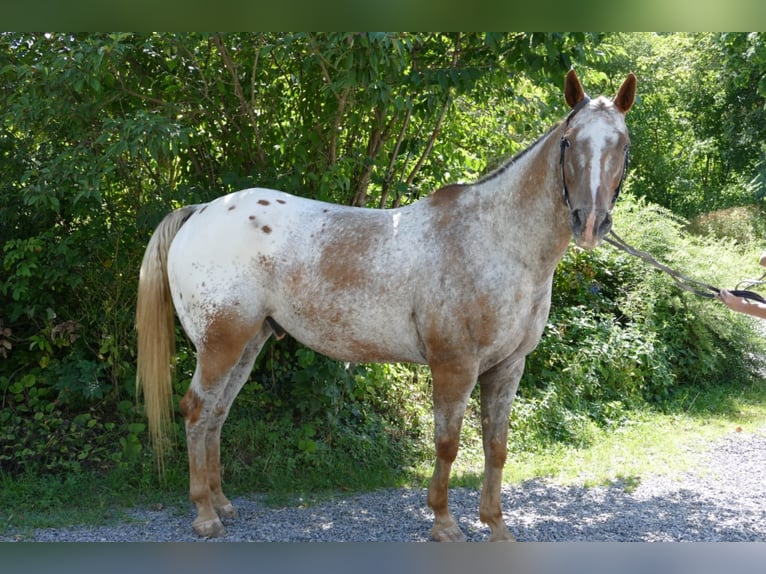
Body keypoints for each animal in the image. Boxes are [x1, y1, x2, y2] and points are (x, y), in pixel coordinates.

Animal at [136, 70, 636, 544]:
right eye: (569, 142)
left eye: (623, 145)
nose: (590, 222)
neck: (495, 239)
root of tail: (200, 211)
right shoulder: (455, 366)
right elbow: (448, 443)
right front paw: (444, 524)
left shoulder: (508, 367)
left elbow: (497, 447)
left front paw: (496, 526)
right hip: (221, 344)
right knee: (196, 410)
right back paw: (205, 516)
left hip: (247, 344)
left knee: (216, 416)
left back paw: (222, 505)